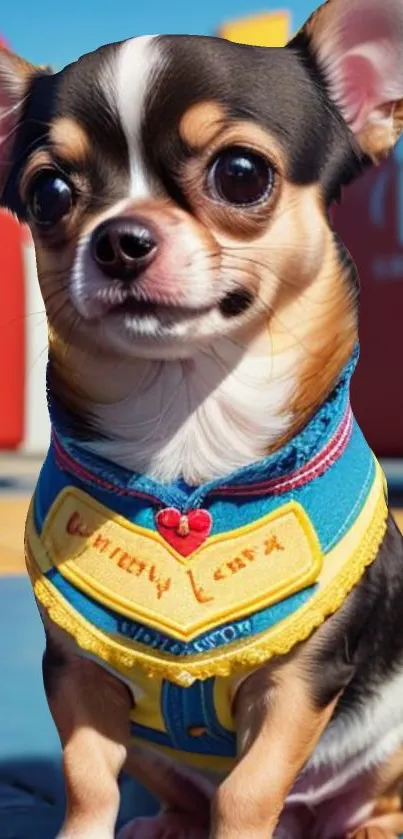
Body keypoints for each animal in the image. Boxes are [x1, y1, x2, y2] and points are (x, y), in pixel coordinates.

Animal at [0, 0, 403, 836]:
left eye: (241, 173)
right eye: (48, 193)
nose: (119, 238)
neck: (186, 431)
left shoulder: (299, 684)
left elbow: (248, 788)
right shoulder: (78, 671)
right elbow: (88, 777)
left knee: (364, 793)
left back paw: (369, 823)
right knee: (175, 788)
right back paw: (167, 820)